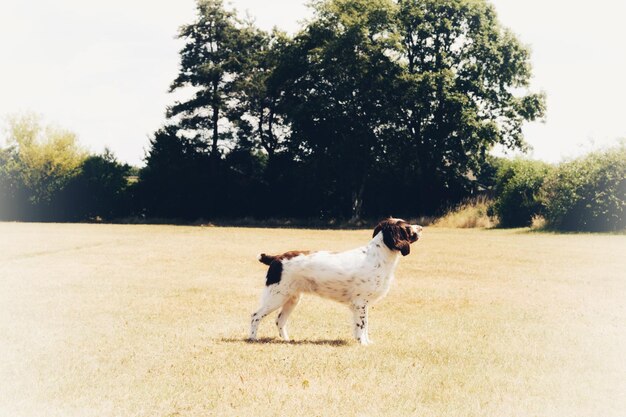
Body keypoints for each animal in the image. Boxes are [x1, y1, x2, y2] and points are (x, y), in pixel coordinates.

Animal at [247, 216, 420, 342]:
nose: (421, 228)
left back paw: (287, 340)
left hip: (291, 298)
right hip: (276, 296)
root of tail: (276, 258)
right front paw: (363, 344)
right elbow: (362, 326)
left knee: (280, 320)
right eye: (407, 227)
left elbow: (363, 326)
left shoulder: (362, 305)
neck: (378, 256)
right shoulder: (360, 303)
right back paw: (253, 338)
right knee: (255, 315)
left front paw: (365, 342)